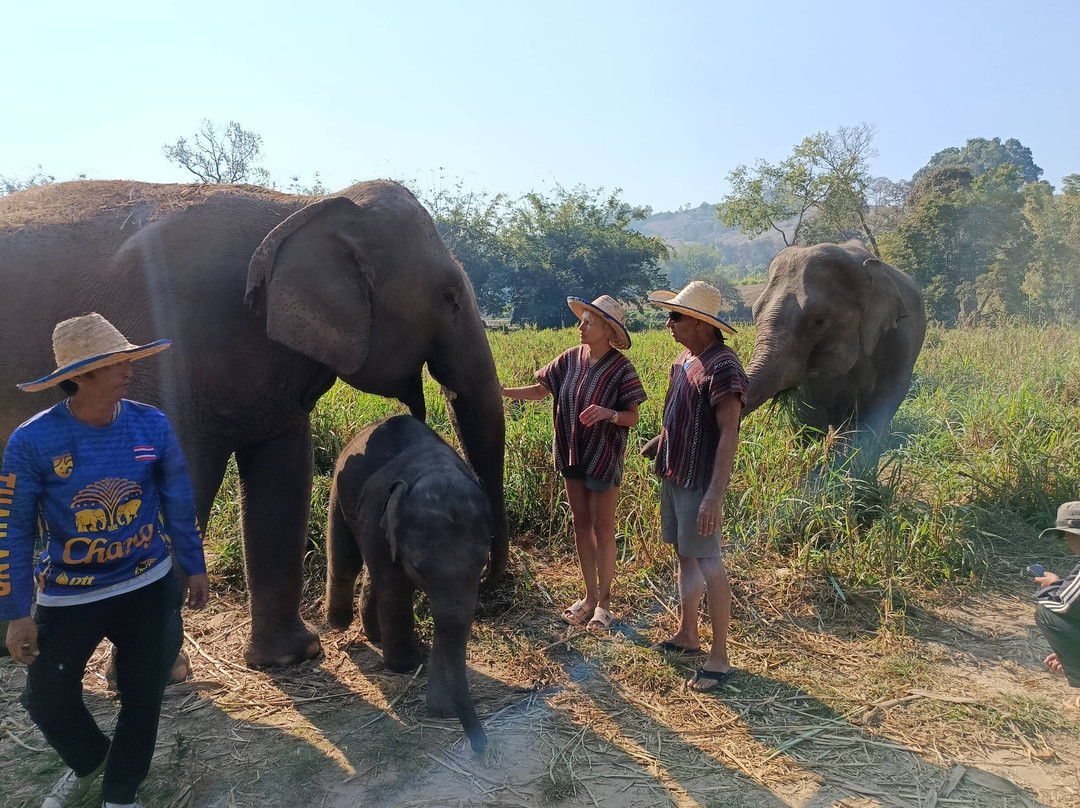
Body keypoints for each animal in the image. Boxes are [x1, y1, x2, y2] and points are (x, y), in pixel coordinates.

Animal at [0, 179, 507, 668]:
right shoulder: (166, 347)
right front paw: (165, 670)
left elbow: (283, 475)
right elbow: (177, 479)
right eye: (449, 297)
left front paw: (291, 657)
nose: (489, 582)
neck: (302, 207)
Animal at [325, 415, 490, 753]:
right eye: (418, 568)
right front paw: (404, 664)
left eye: (483, 564)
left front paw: (440, 708)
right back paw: (338, 624)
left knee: (371, 573)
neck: (433, 470)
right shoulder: (378, 516)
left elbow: (453, 618)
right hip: (339, 486)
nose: (481, 748)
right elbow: (397, 590)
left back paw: (374, 635)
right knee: (346, 559)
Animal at [743, 240, 926, 464]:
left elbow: (879, 408)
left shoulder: (897, 342)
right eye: (754, 313)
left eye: (819, 321)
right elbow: (809, 419)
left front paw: (852, 466)